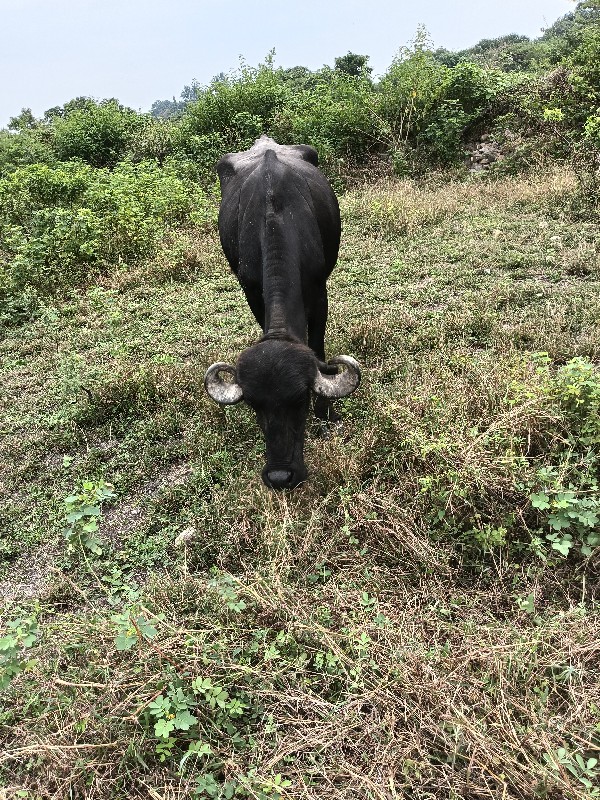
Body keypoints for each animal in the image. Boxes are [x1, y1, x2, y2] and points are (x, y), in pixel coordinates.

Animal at [205, 136, 360, 488]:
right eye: (253, 404)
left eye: (300, 401)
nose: (279, 476)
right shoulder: (251, 291)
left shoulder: (319, 292)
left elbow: (318, 347)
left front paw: (326, 412)